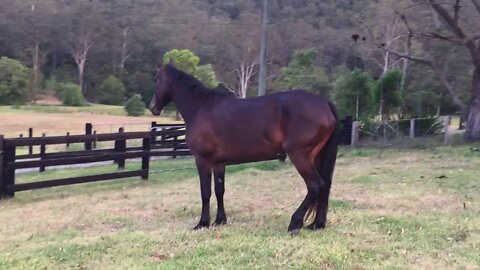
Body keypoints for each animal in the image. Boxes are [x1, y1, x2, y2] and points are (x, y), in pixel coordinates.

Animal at [151, 63, 342, 234]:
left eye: (156, 79)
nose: (153, 107)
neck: (201, 108)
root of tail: (325, 103)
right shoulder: (218, 162)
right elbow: (219, 190)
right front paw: (220, 220)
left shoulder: (202, 160)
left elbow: (205, 192)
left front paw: (203, 223)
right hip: (317, 156)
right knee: (325, 185)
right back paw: (317, 224)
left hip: (300, 155)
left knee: (315, 186)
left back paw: (295, 223)